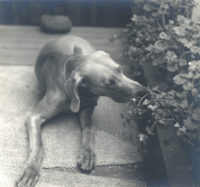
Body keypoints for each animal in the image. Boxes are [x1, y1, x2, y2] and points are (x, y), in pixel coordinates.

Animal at [16, 35, 145, 187]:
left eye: (120, 69)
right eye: (109, 84)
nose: (143, 91)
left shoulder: (88, 107)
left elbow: (89, 129)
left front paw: (87, 154)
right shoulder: (34, 116)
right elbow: (38, 145)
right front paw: (31, 170)